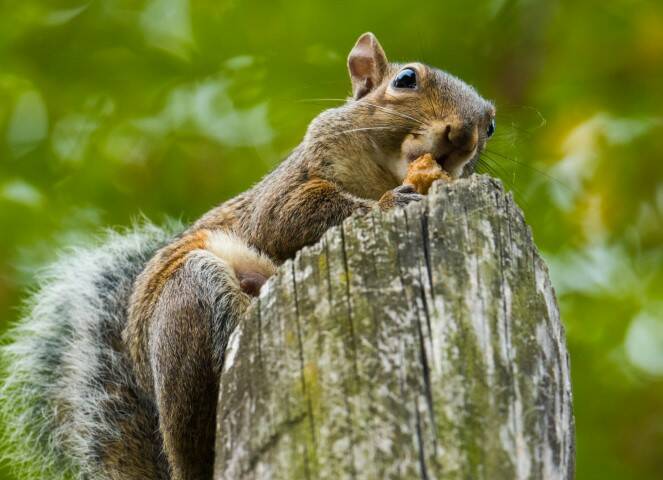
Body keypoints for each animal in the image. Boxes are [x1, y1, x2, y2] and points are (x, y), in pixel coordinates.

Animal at [1, 34, 498, 480]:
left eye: (491, 125)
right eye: (406, 79)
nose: (464, 134)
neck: (383, 172)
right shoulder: (288, 185)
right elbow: (284, 220)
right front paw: (388, 203)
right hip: (191, 299)